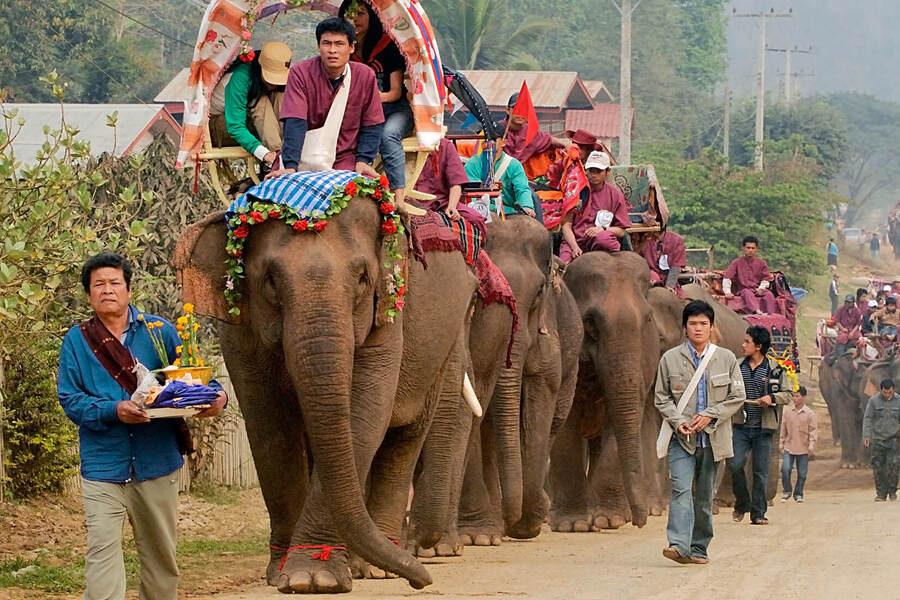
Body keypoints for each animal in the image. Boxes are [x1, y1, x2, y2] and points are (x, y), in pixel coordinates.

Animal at [173, 198, 482, 596]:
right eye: (270, 280)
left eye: (363, 278)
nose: (421, 581)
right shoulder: (239, 331)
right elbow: (269, 426)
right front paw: (285, 575)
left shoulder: (389, 317)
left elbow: (364, 414)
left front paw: (314, 578)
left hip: (437, 355)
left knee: (404, 438)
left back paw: (375, 568)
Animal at [544, 251, 656, 532]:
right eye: (590, 322)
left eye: (648, 319)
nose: (640, 522)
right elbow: (565, 429)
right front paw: (573, 524)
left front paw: (608, 520)